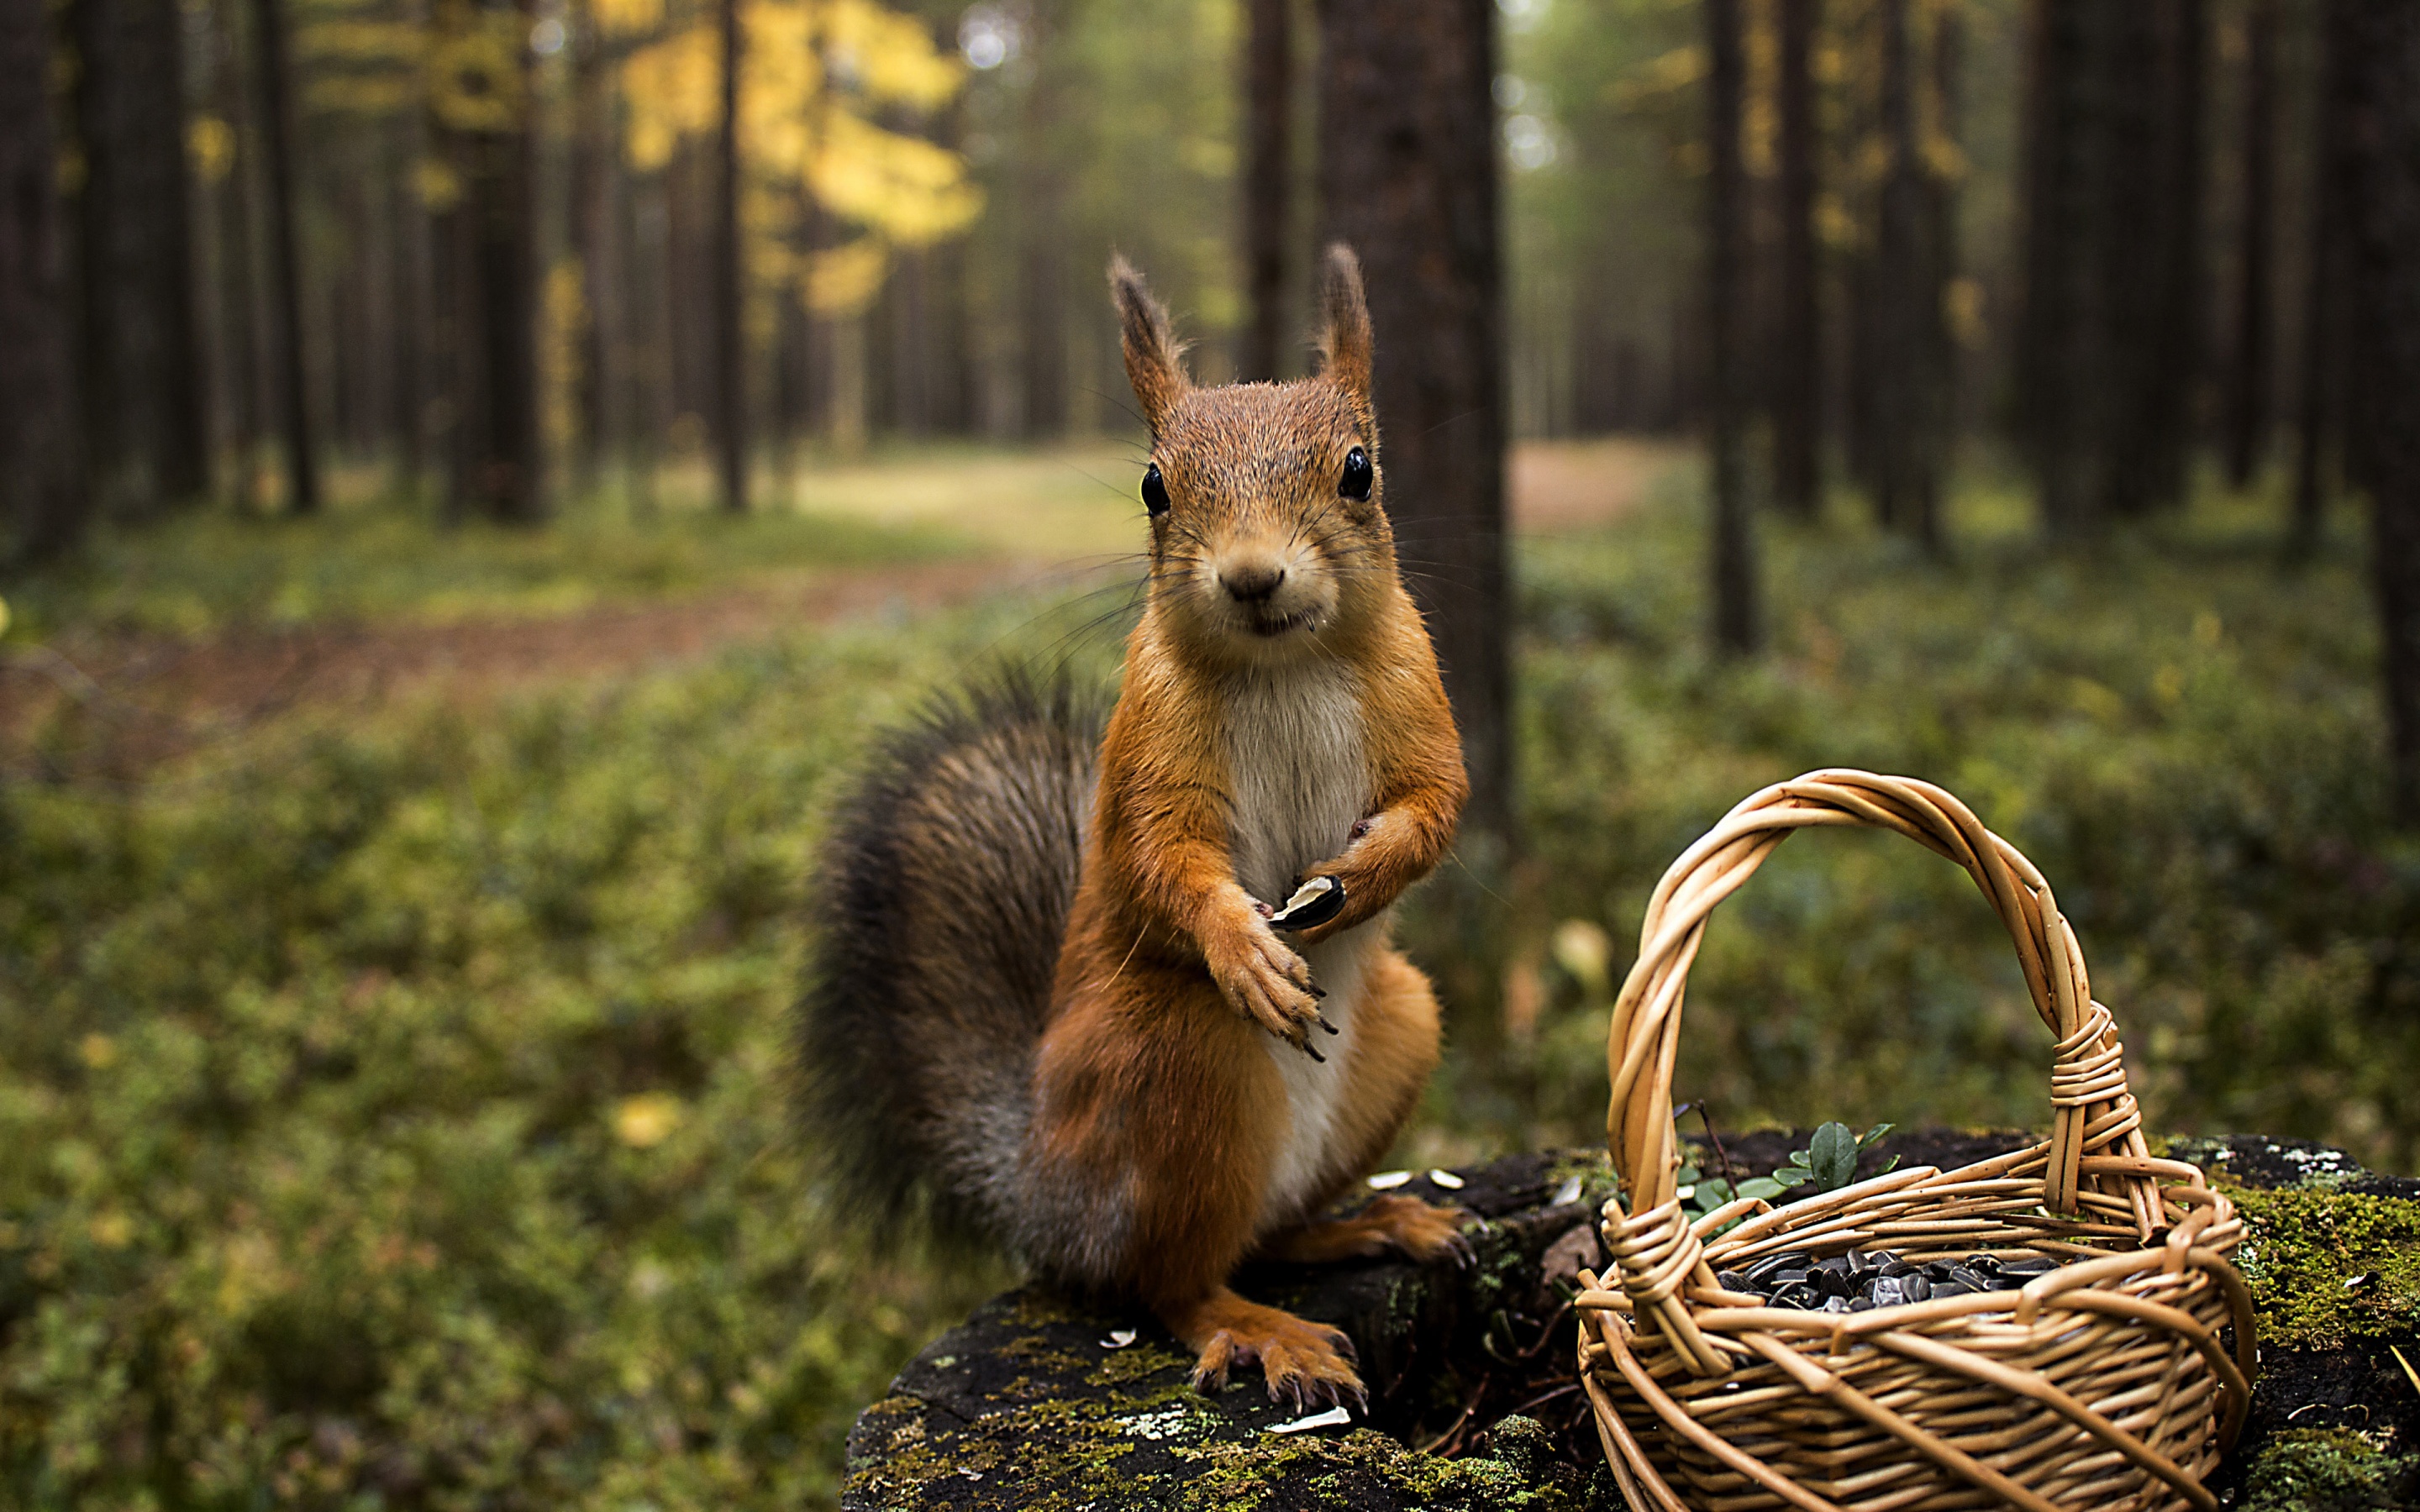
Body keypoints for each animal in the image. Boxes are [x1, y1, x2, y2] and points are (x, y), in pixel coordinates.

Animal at [803, 242, 1461, 1412]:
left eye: (1359, 470)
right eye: (1155, 486)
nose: (1252, 576)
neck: (1286, 664)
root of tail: (1043, 1194)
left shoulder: (1419, 700)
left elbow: (1436, 805)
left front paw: (1364, 876)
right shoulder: (1149, 749)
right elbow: (1163, 859)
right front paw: (1245, 947)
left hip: (1402, 1028)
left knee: (1267, 1234)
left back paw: (1369, 1224)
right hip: (1173, 1062)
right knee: (1169, 1280)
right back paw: (1259, 1327)